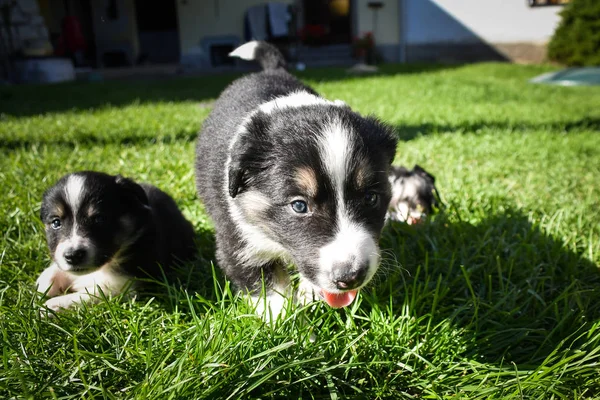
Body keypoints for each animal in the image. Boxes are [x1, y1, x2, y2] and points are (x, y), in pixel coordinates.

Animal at [35, 170, 195, 312]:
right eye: (56, 222)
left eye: (99, 219)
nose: (73, 256)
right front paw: (44, 283)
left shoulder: (124, 285)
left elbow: (89, 295)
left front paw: (53, 306)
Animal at [195, 41, 396, 318]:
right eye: (299, 206)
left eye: (371, 198)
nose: (350, 278)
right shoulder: (236, 242)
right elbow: (266, 287)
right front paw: (283, 322)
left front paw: (308, 294)